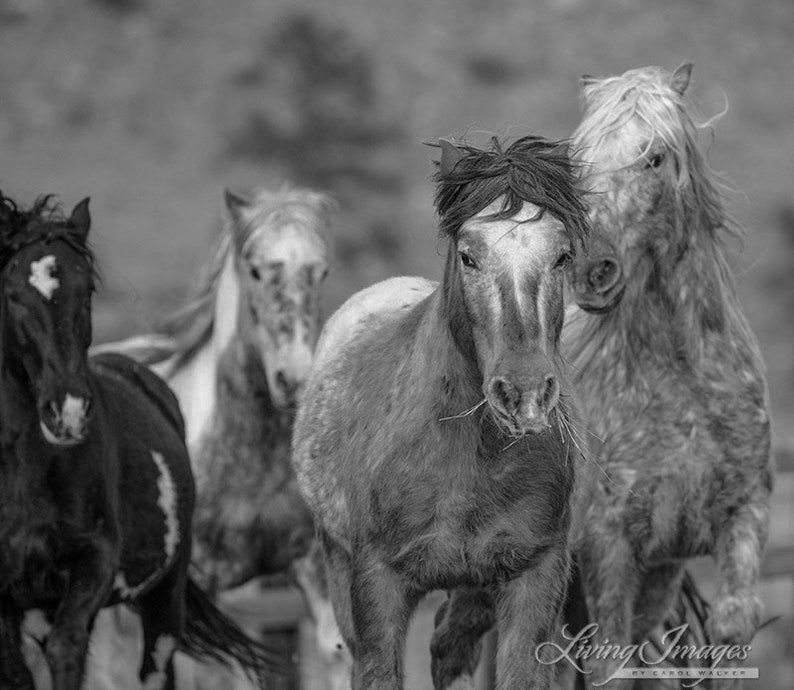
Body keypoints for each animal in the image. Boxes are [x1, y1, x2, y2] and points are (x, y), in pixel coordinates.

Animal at [0, 193, 281, 690]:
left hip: (164, 597)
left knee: (155, 669)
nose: (68, 411)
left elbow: (67, 651)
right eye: (13, 294)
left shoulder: (93, 563)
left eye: (86, 290)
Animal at [557, 63, 773, 687]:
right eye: (576, 157)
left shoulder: (740, 513)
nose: (591, 270)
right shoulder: (607, 541)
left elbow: (733, 624)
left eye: (654, 157)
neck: (685, 382)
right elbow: (610, 666)